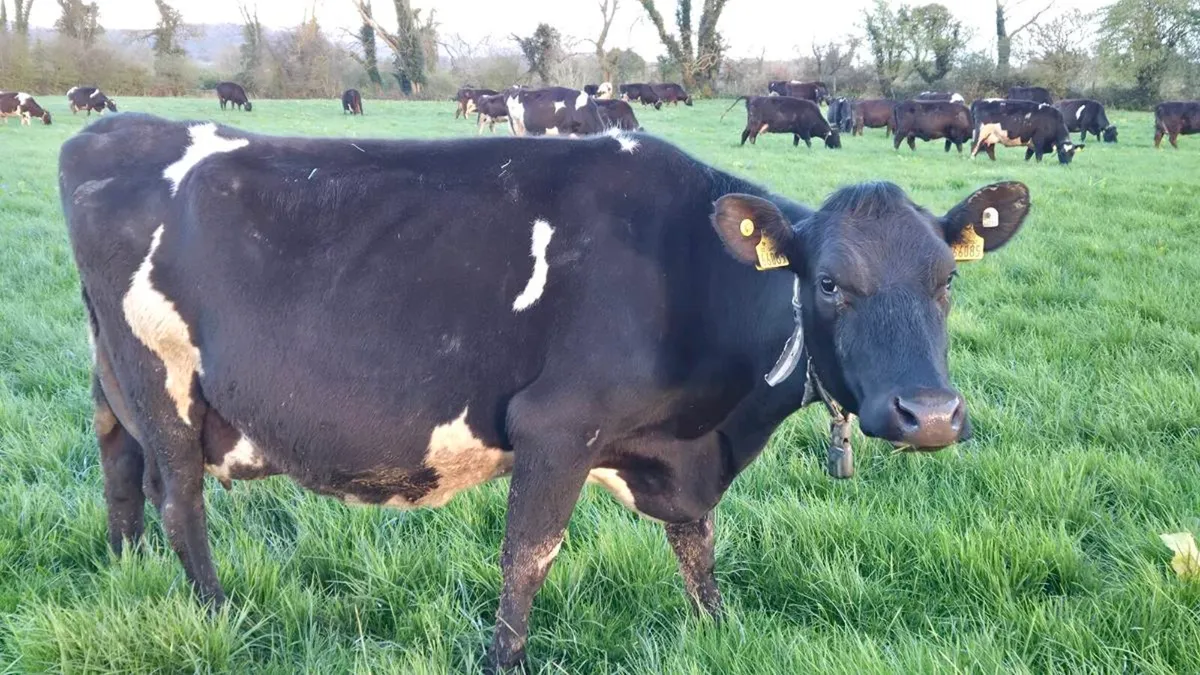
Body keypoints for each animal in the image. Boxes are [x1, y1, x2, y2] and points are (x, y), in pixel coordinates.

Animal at [61, 111, 1030, 674]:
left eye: (947, 278)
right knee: (179, 497)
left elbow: (698, 545)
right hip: (163, 380)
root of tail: (112, 129)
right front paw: (506, 661)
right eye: (828, 283)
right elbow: (527, 557)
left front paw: (718, 630)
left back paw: (125, 568)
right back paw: (218, 613)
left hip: (110, 371)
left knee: (116, 460)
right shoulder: (557, 427)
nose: (929, 414)